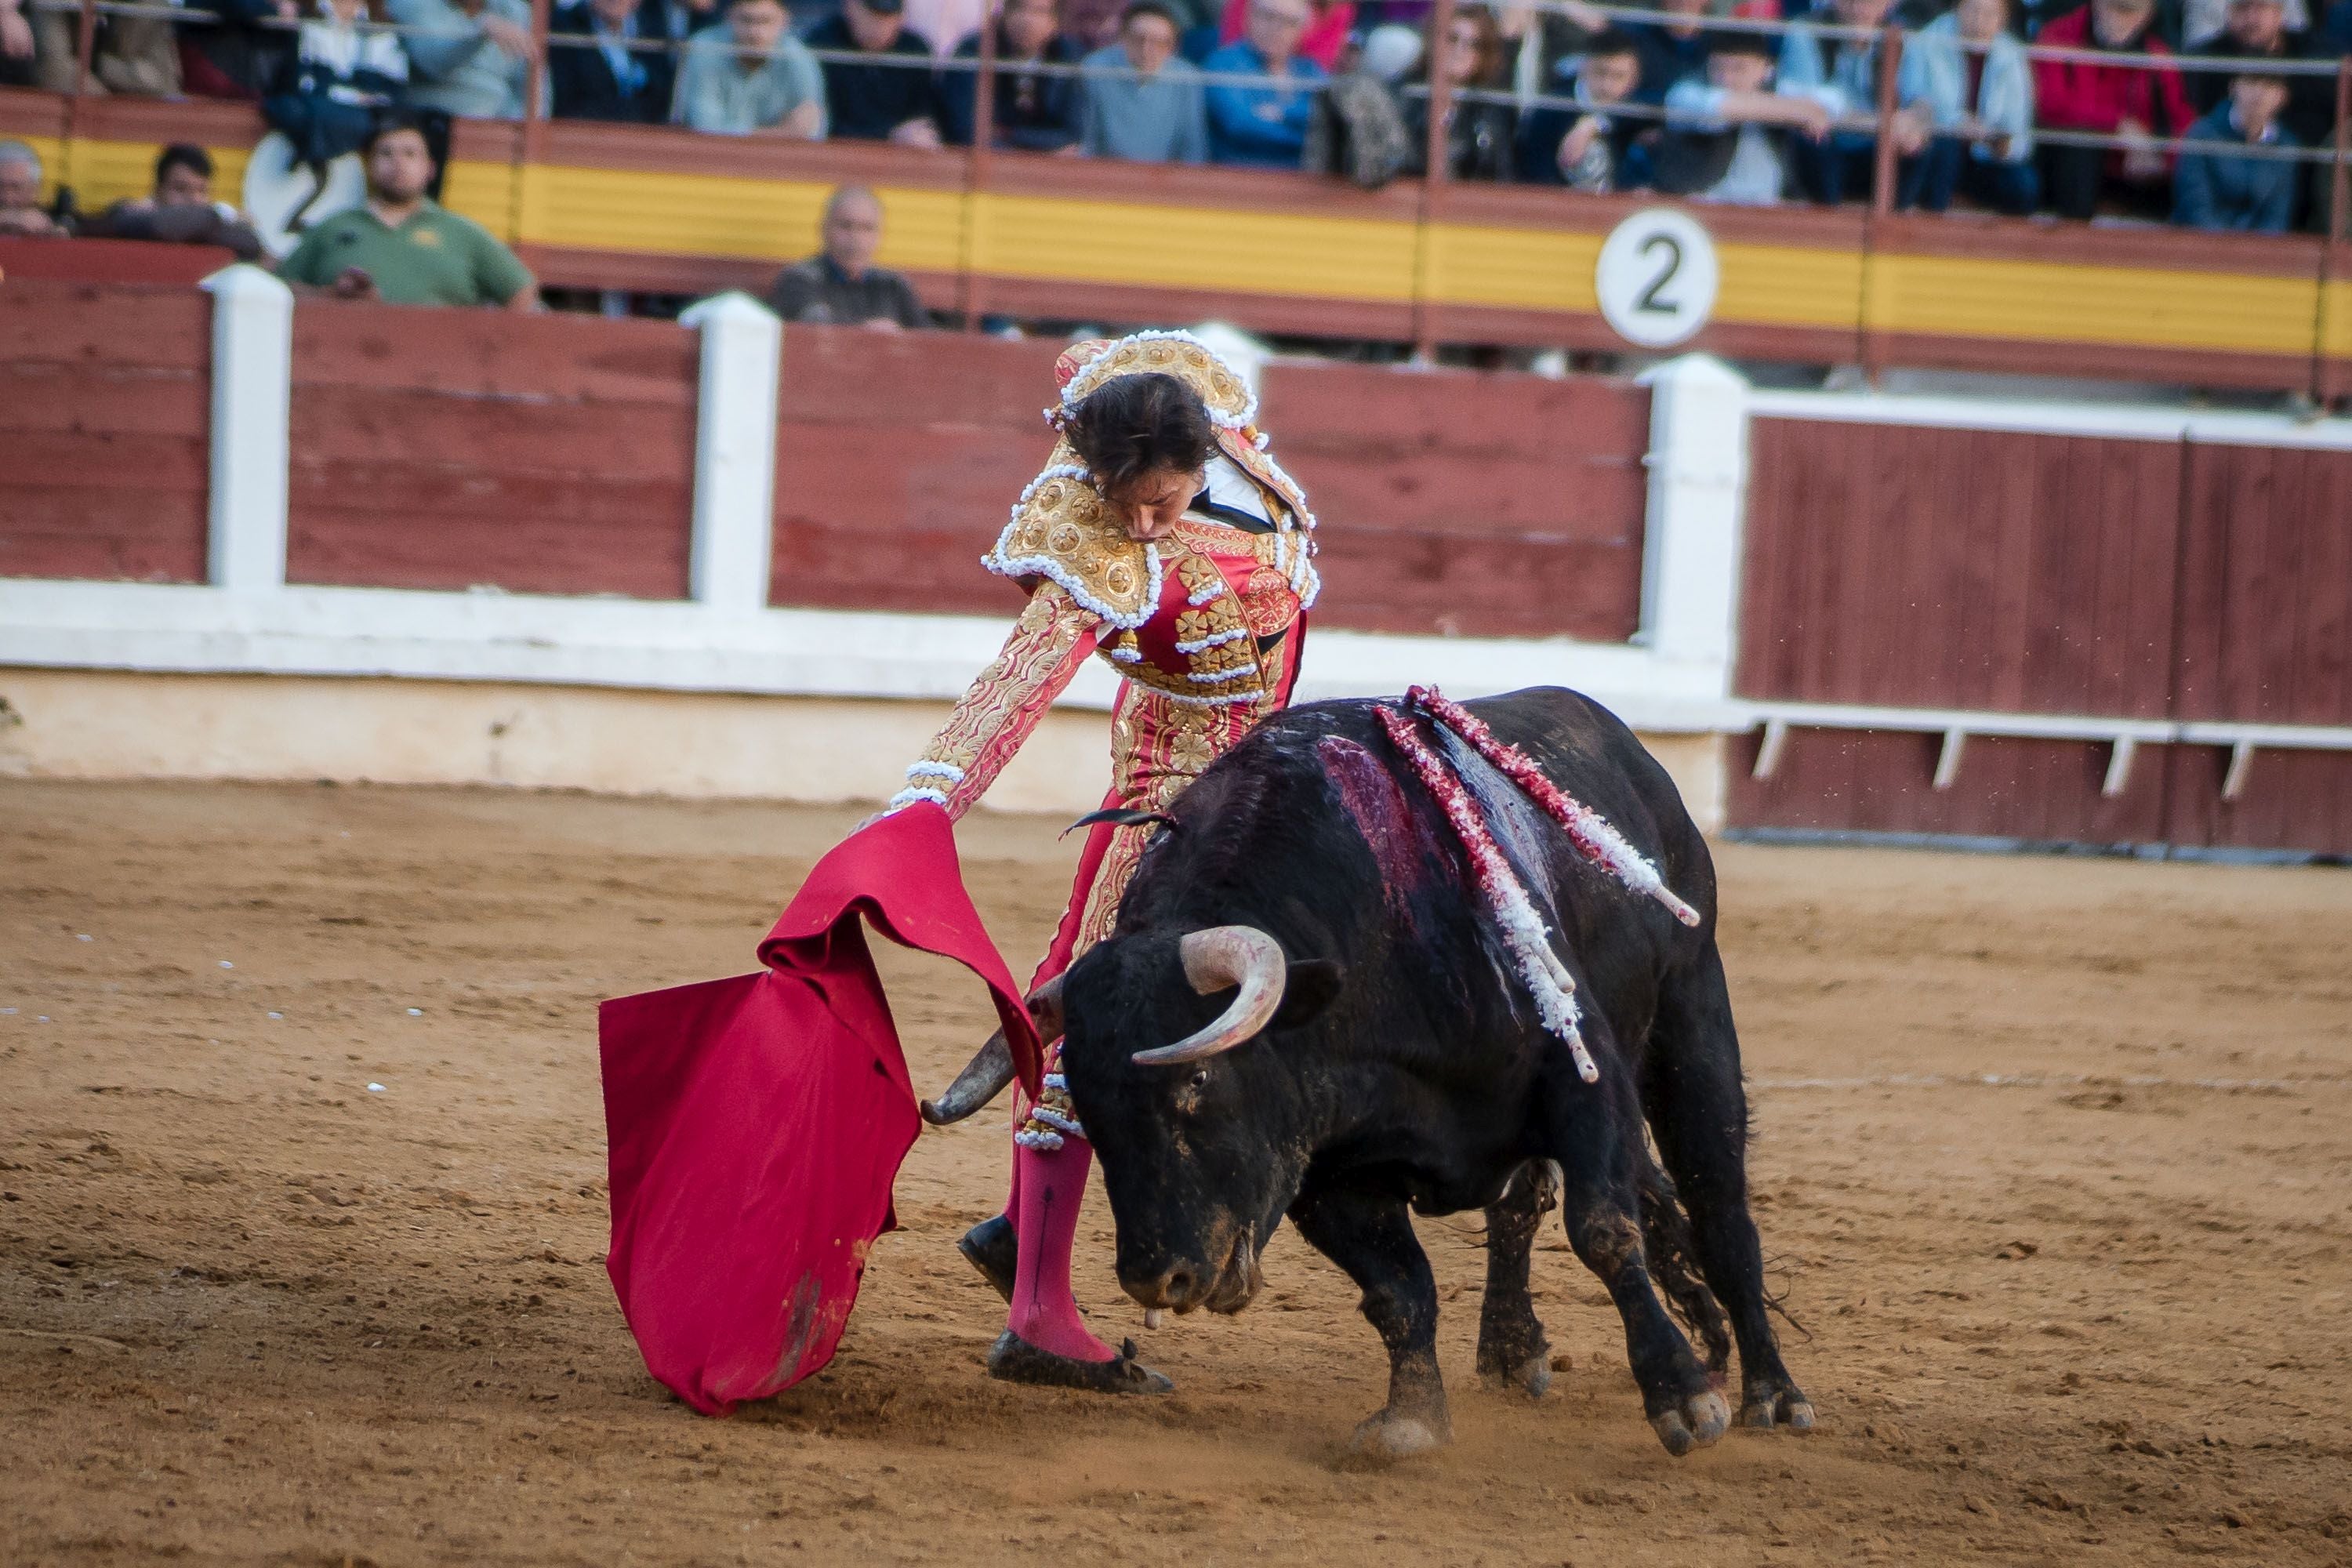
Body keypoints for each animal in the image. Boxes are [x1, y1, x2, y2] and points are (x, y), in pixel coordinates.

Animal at [1058, 681, 1806, 1457]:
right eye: (1086, 1105)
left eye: (1197, 1080)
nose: (1156, 1278)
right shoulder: (1322, 1169)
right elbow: (1399, 1287)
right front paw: (1411, 1416)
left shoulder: (1582, 1075)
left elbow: (1604, 1230)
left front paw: (1683, 1397)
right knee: (1522, 1205)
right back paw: (1512, 1349)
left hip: (1694, 1013)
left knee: (1720, 1209)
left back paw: (1772, 1393)